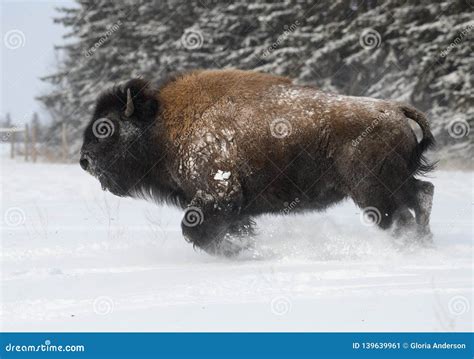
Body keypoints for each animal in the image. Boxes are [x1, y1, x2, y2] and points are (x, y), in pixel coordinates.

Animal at [79, 69, 436, 256]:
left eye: (105, 128)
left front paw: (235, 252)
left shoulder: (217, 194)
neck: (161, 124)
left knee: (400, 216)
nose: (84, 160)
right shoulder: (230, 205)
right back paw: (424, 242)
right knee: (423, 194)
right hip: (398, 182)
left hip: (371, 190)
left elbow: (194, 230)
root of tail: (395, 110)